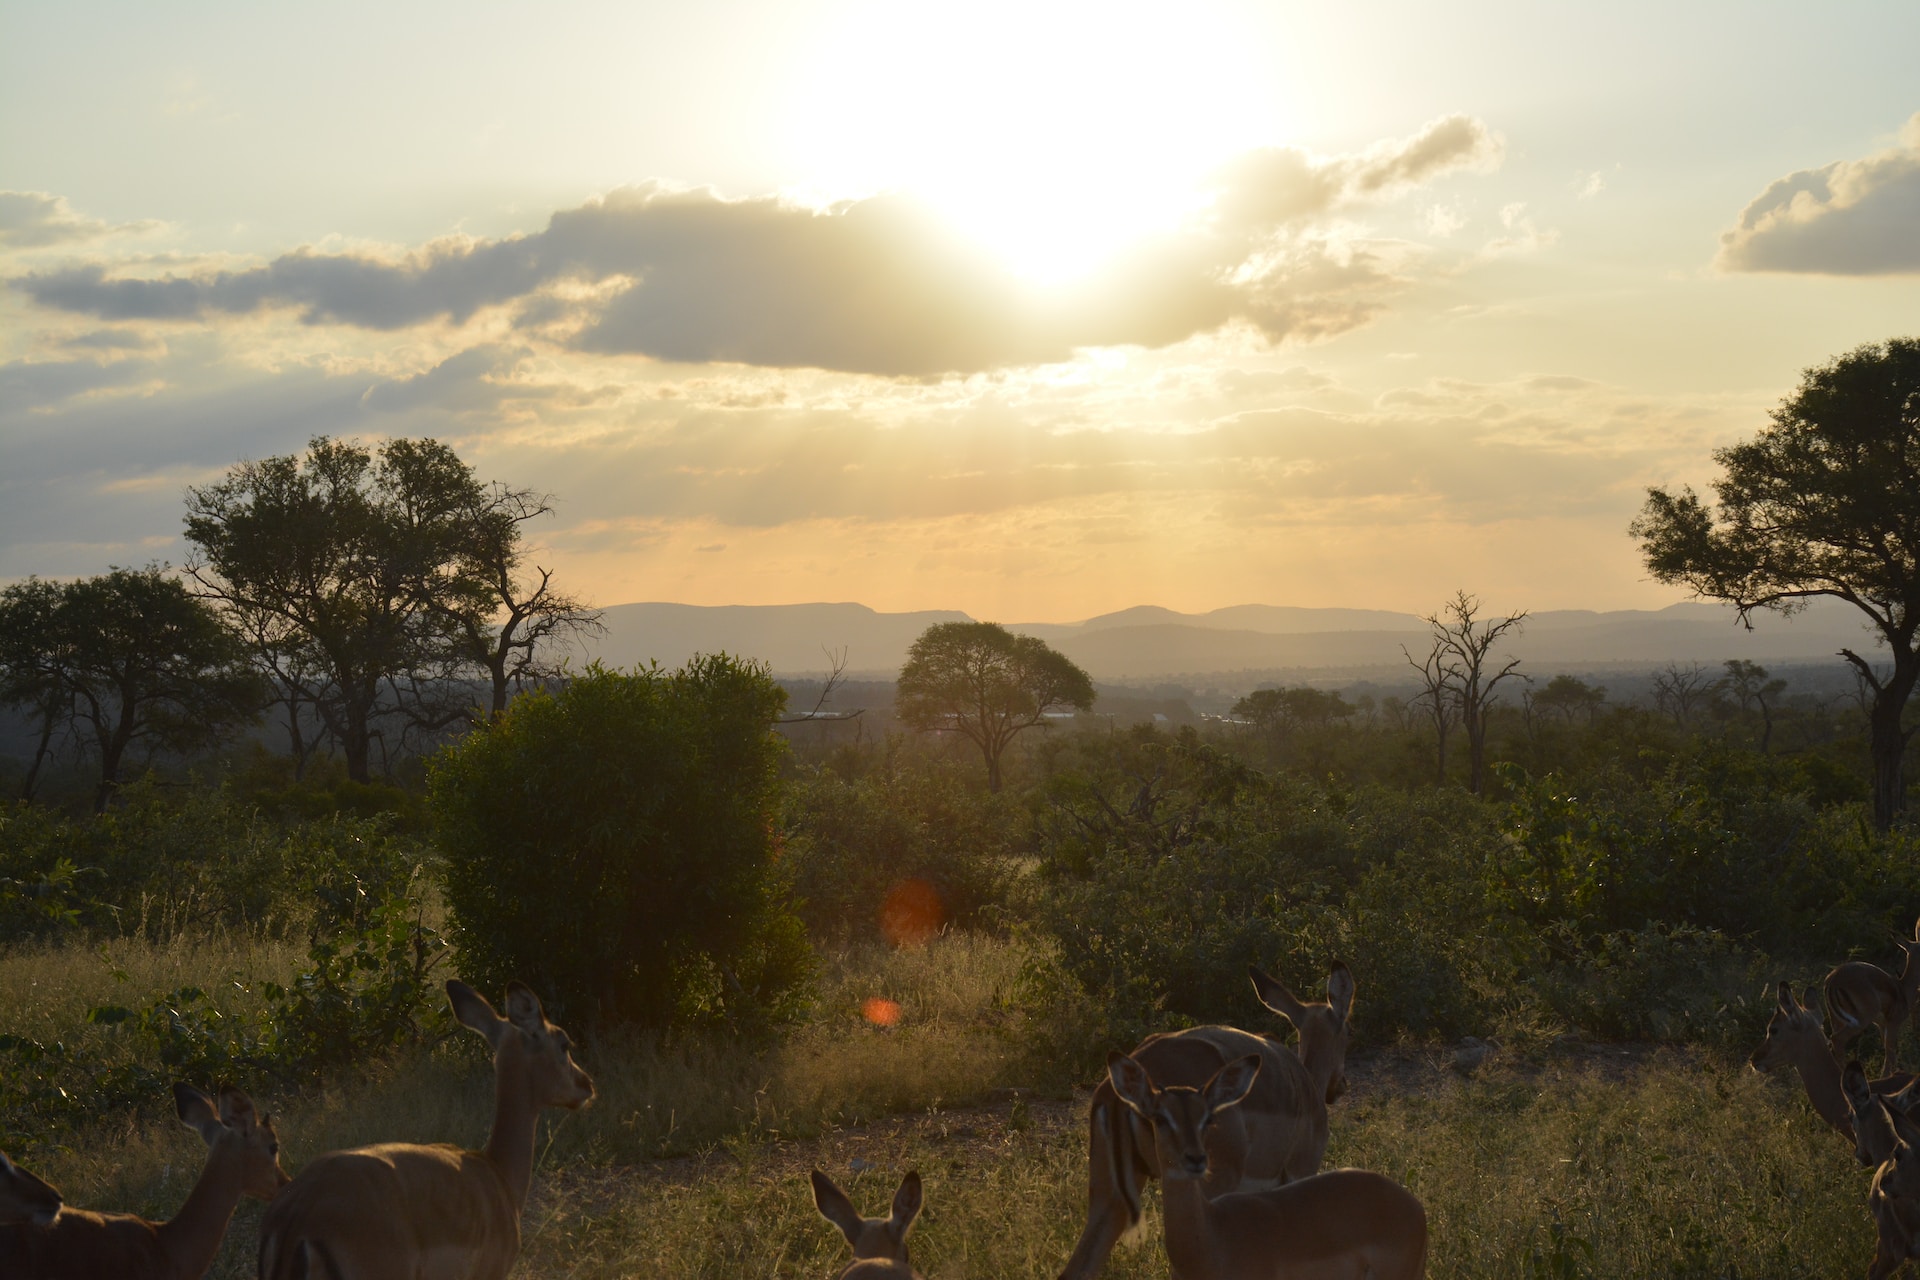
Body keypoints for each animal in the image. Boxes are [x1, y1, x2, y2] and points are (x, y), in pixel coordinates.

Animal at [1058, 960, 1355, 1280]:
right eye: (1347, 1031)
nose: (1340, 1086)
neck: (1304, 1083)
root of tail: (1119, 1091)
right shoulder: (1300, 1172)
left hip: (1110, 1195)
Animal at [1827, 917, 1920, 1075]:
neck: (1903, 989)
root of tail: (1832, 980)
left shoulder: (1882, 1025)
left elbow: (1888, 1051)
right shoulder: (1893, 1023)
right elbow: (1890, 1052)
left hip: (1837, 1021)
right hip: (1860, 1021)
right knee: (1836, 1040)